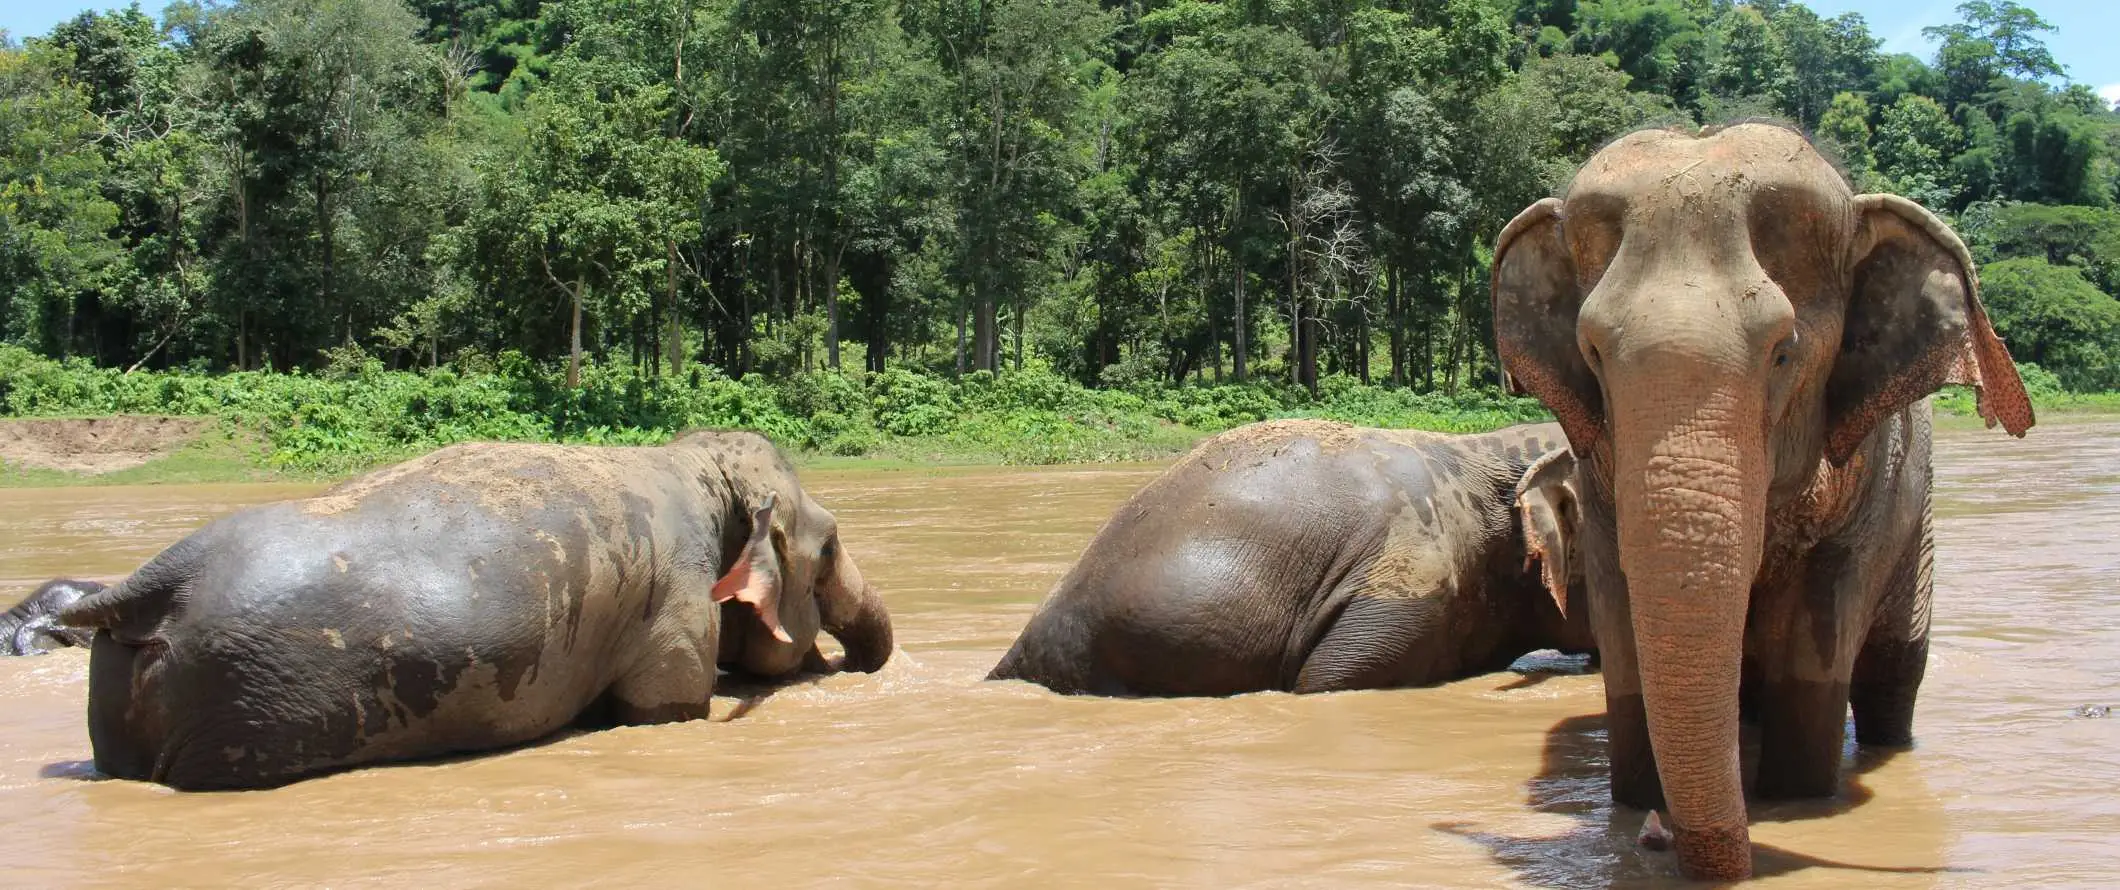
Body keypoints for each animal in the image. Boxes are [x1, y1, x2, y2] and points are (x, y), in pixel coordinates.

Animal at [53, 428, 890, 788]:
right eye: (827, 552)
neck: (698, 463)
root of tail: (153, 582)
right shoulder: (677, 603)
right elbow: (663, 709)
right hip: (243, 710)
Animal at [1483, 121, 2026, 881]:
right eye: (1591, 354)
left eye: (1783, 353)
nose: (1655, 839)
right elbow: (1624, 622)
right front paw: (1636, 803)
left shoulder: (1872, 485)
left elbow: (1819, 637)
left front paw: (1796, 799)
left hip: (1916, 534)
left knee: (1894, 678)